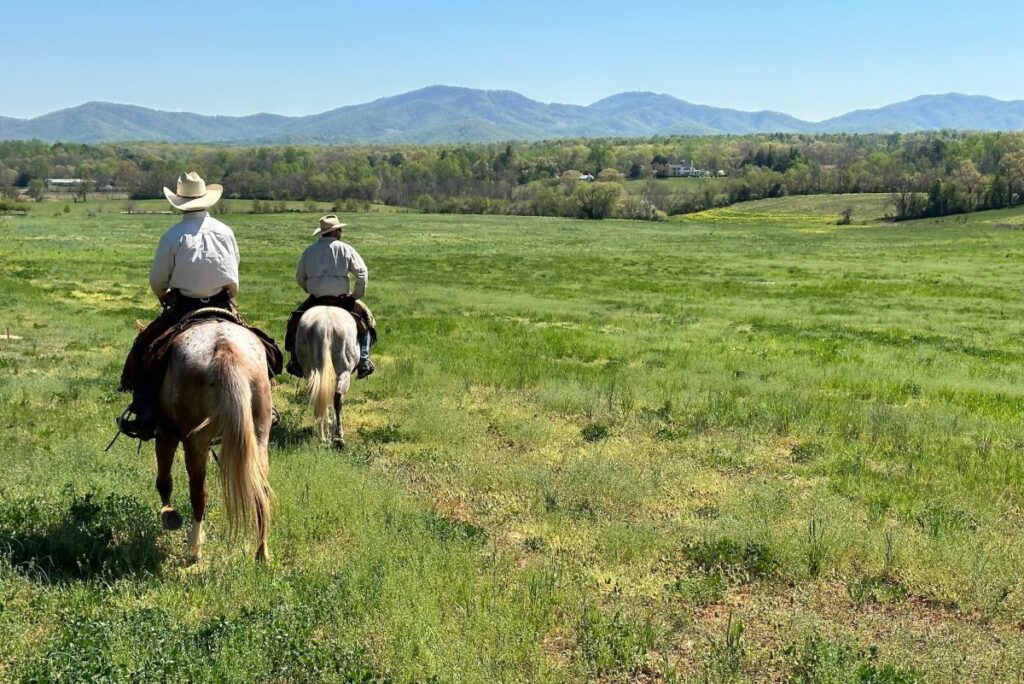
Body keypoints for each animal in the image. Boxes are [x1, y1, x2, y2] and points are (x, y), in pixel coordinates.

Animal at [150, 319, 272, 561]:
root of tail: (226, 351)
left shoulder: (165, 432)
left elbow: (164, 480)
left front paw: (168, 514)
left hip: (193, 442)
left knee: (198, 492)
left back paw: (194, 548)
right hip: (259, 437)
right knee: (260, 491)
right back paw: (261, 553)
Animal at [296, 305, 360, 446]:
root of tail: (324, 324)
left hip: (310, 371)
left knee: (316, 396)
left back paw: (322, 436)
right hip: (344, 371)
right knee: (337, 399)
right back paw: (338, 437)